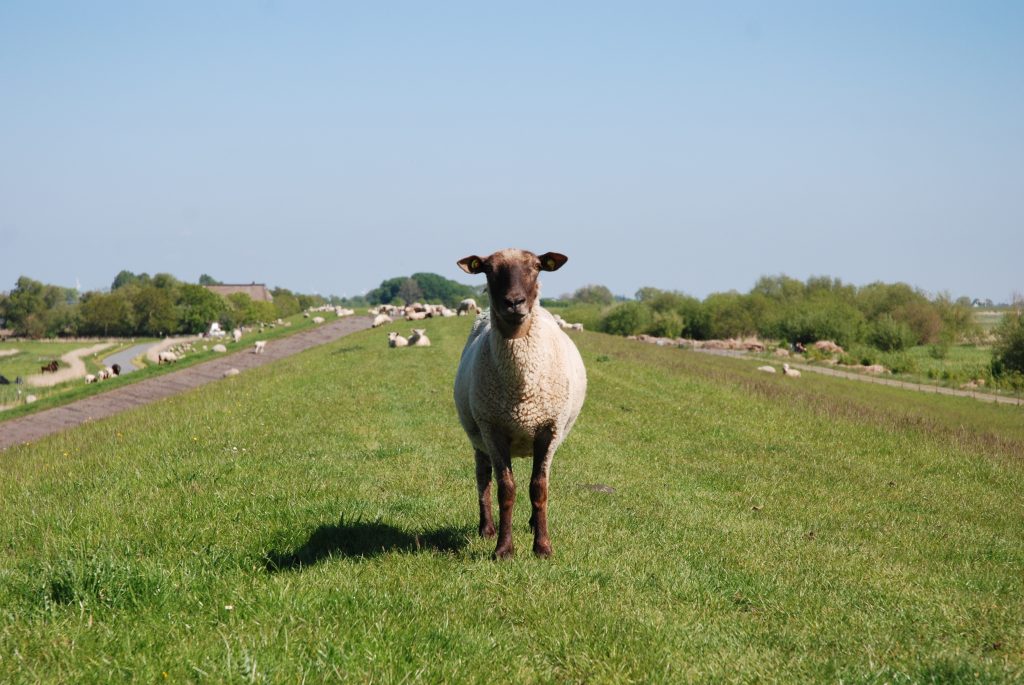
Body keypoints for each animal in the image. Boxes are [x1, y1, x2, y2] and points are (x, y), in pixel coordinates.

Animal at [454, 249, 587, 559]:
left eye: (537, 267)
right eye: (488, 269)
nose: (514, 302)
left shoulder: (548, 429)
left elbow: (539, 489)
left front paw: (543, 547)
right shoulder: (493, 430)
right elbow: (506, 490)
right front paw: (503, 549)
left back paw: (533, 523)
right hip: (478, 436)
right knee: (483, 478)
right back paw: (486, 528)